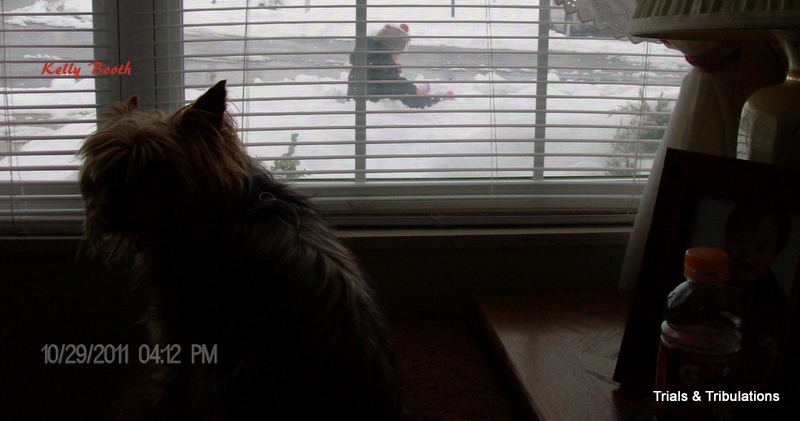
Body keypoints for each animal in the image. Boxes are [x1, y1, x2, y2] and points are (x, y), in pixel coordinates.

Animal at [79, 80, 400, 418]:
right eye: (108, 167)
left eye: (154, 170)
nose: (108, 209)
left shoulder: (176, 314)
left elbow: (173, 372)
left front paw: (158, 402)